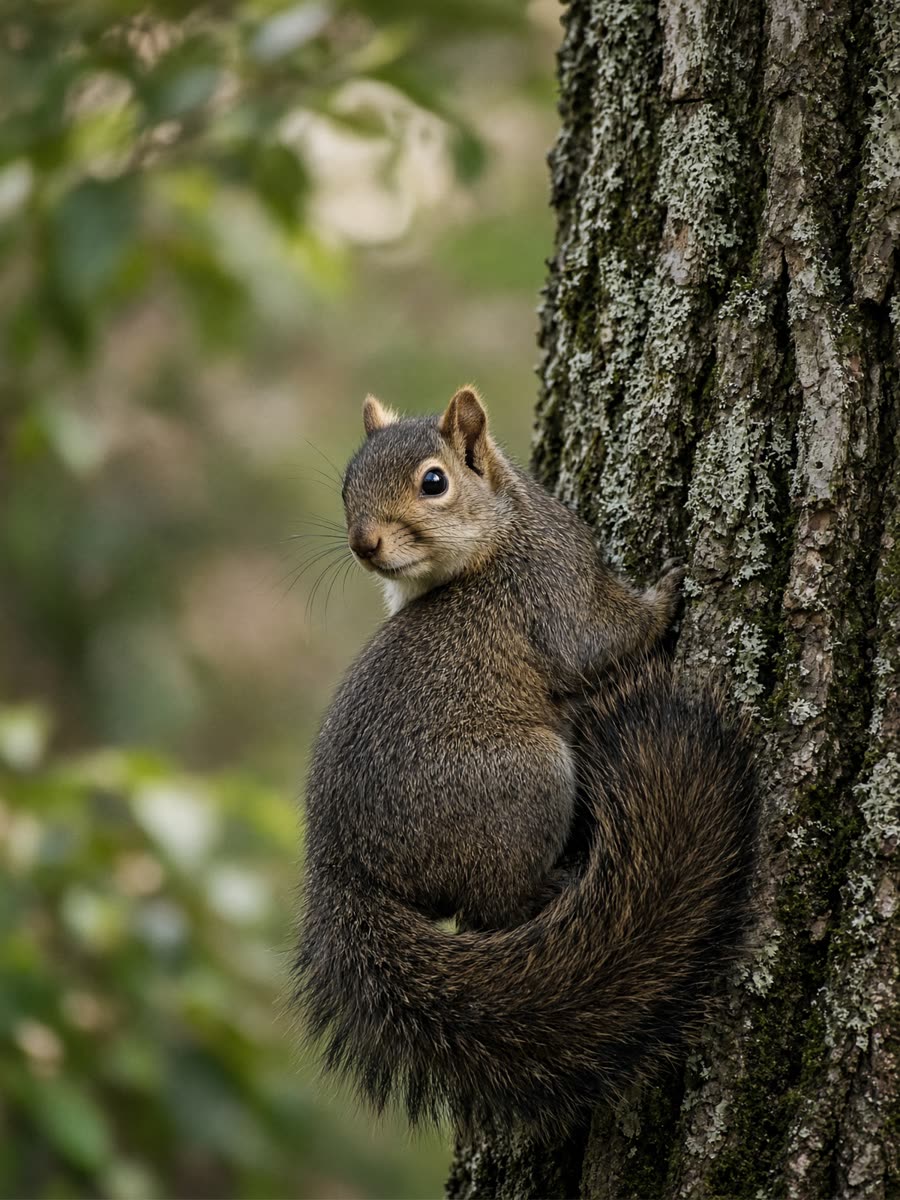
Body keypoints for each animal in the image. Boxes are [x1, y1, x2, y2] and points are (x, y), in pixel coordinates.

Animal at [295, 386, 757, 1137]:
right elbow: (600, 641)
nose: (365, 542)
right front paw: (669, 592)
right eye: (346, 486)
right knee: (494, 904)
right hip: (527, 780)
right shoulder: (554, 593)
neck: (509, 531)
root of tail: (344, 869)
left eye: (433, 482)